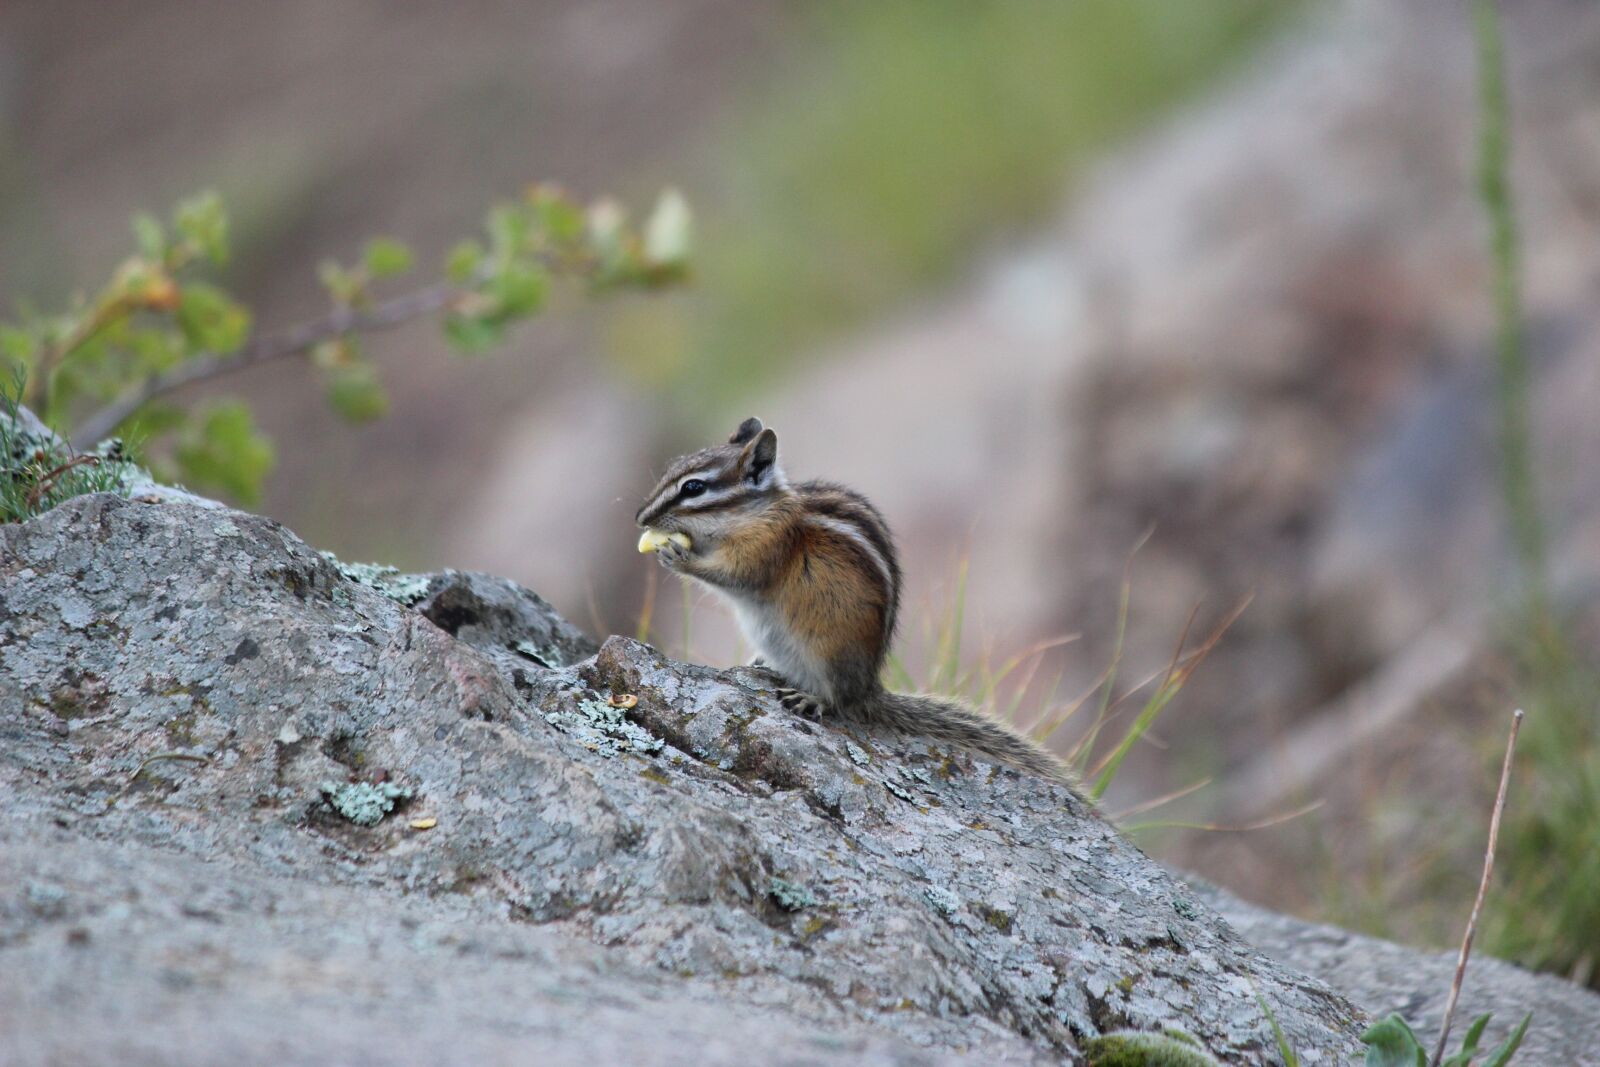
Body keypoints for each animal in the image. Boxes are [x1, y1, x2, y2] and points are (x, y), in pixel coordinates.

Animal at [635, 416, 1070, 783]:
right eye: (674, 466)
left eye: (693, 488)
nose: (640, 517)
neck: (754, 513)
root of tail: (868, 688)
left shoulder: (767, 546)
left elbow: (735, 575)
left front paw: (677, 556)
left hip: (828, 650)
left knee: (837, 699)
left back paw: (811, 698)